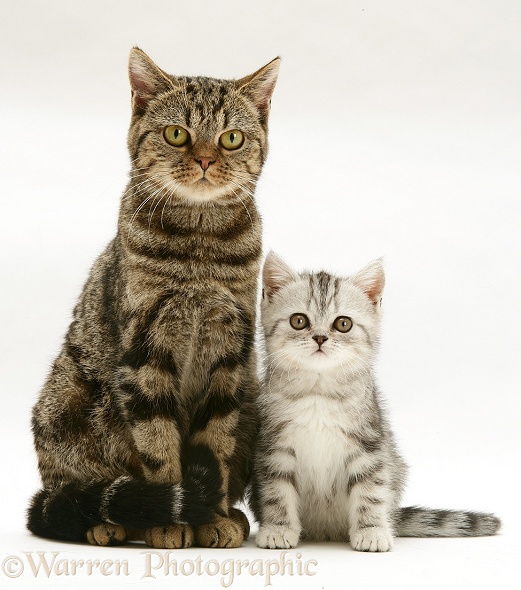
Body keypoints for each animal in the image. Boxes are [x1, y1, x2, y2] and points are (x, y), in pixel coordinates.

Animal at [27, 47, 280, 552]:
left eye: (232, 138)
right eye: (176, 133)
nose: (204, 160)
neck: (200, 246)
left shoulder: (230, 355)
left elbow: (215, 444)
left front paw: (212, 516)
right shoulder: (145, 352)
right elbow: (159, 447)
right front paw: (170, 520)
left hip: (251, 398)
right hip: (63, 398)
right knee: (74, 490)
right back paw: (111, 520)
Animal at [250, 252, 502, 552]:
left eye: (343, 324)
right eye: (298, 321)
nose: (320, 337)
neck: (318, 393)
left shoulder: (369, 445)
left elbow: (370, 491)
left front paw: (371, 531)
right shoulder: (273, 446)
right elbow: (276, 491)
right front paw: (278, 528)